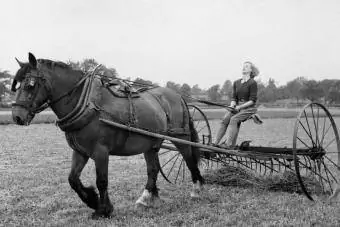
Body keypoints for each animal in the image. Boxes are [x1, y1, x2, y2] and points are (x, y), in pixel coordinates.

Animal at [11, 52, 205, 218]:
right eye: (16, 85)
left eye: (30, 84)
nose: (17, 116)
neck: (87, 103)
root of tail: (178, 96)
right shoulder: (80, 151)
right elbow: (73, 179)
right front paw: (92, 200)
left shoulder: (101, 151)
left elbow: (102, 180)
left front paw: (103, 210)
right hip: (151, 143)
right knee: (153, 169)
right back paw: (146, 198)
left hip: (181, 138)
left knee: (189, 160)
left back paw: (196, 190)